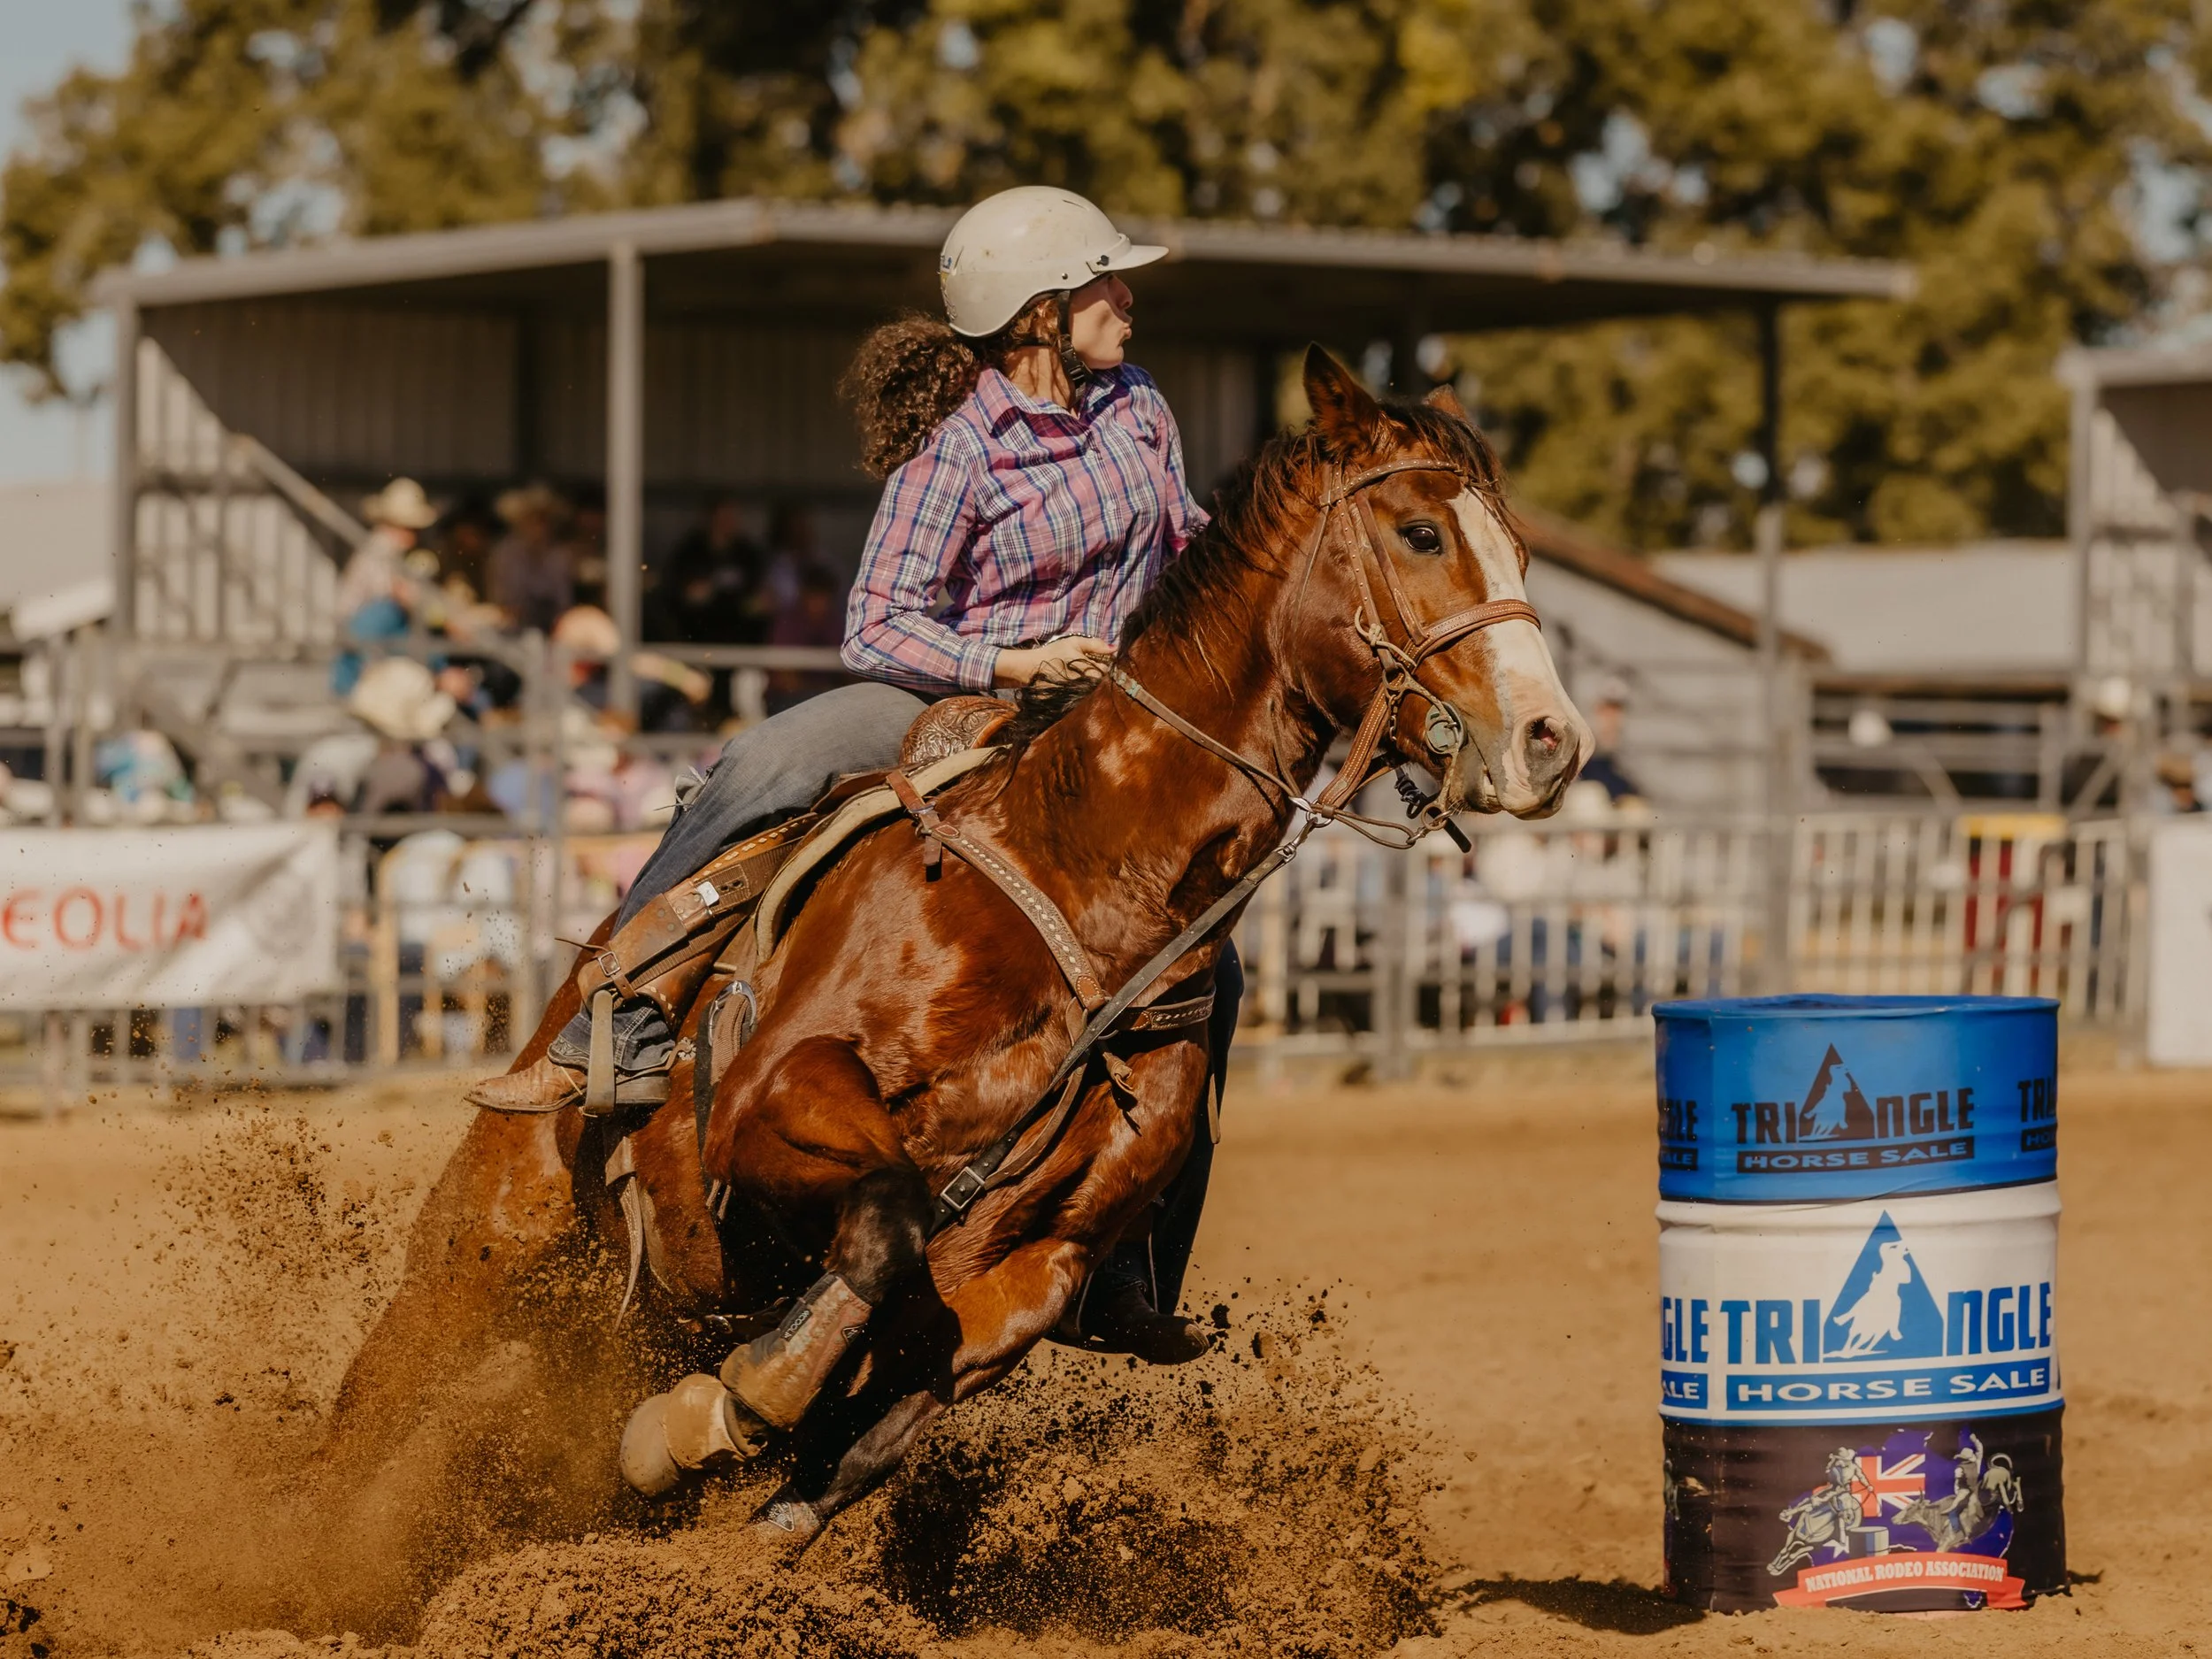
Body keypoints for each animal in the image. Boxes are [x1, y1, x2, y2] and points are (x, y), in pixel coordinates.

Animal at [305, 346, 1589, 1599]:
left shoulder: (1033, 1266)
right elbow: (884, 1219)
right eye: (1419, 532)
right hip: (484, 1246)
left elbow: (860, 1433)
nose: (1553, 743)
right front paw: (728, 1407)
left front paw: (715, 1455)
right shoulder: (772, 1099)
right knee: (370, 1409)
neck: (1086, 873)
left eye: (1521, 548)